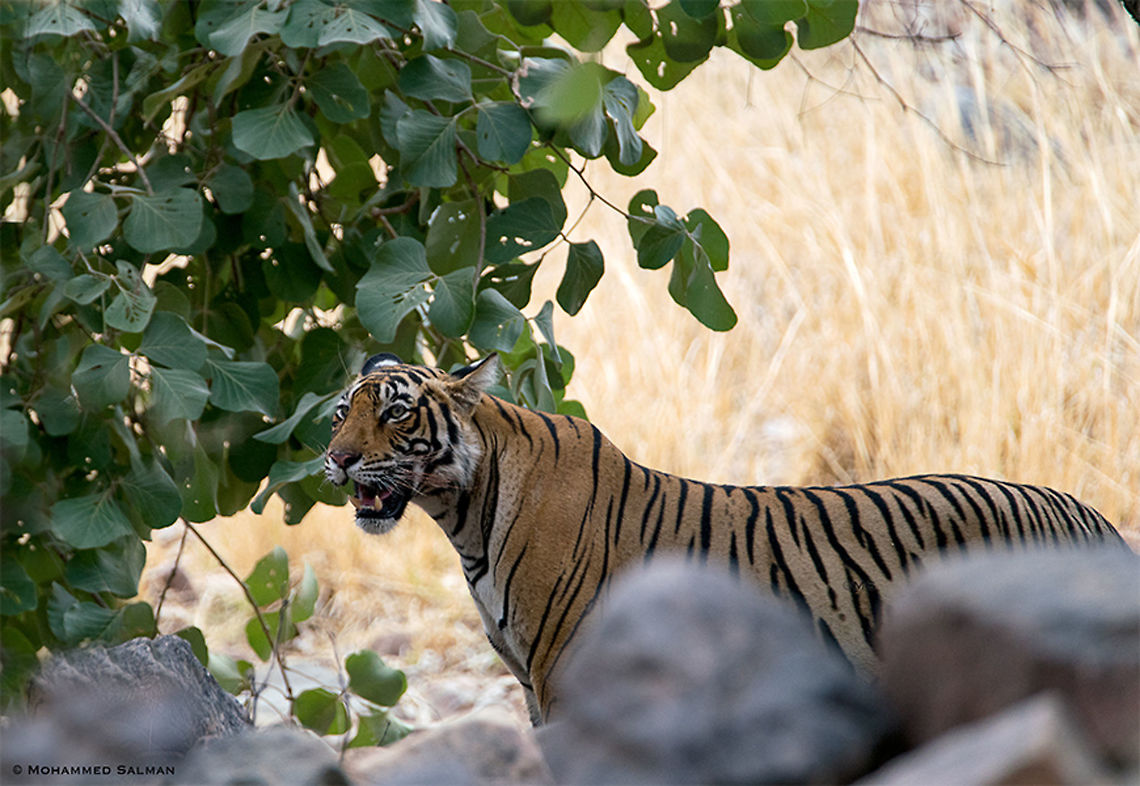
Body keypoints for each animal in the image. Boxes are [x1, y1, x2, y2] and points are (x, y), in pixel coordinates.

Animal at [324, 352, 1128, 724]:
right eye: (341, 413)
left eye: (395, 413)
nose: (336, 459)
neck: (466, 519)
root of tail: (1094, 518)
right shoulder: (531, 684)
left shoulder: (566, 681)